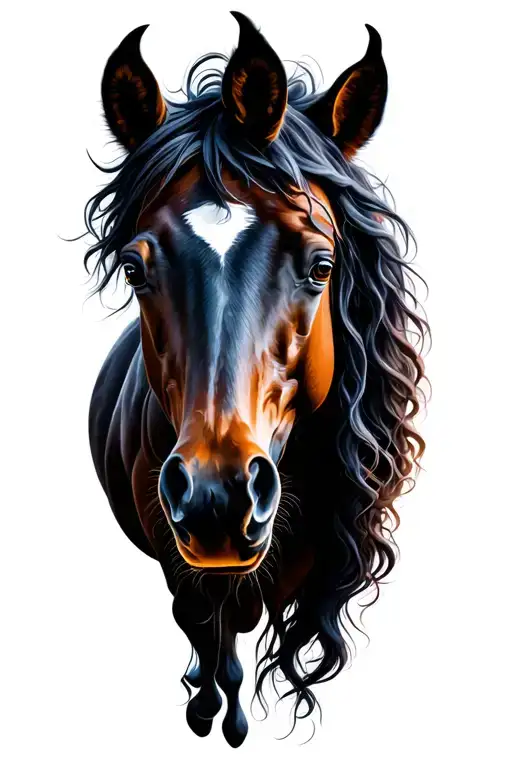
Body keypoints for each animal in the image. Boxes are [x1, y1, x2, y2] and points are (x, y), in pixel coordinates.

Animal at [83, 12, 427, 747]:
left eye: (321, 264)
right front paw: (211, 709)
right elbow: (209, 627)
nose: (215, 497)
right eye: (134, 268)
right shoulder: (182, 562)